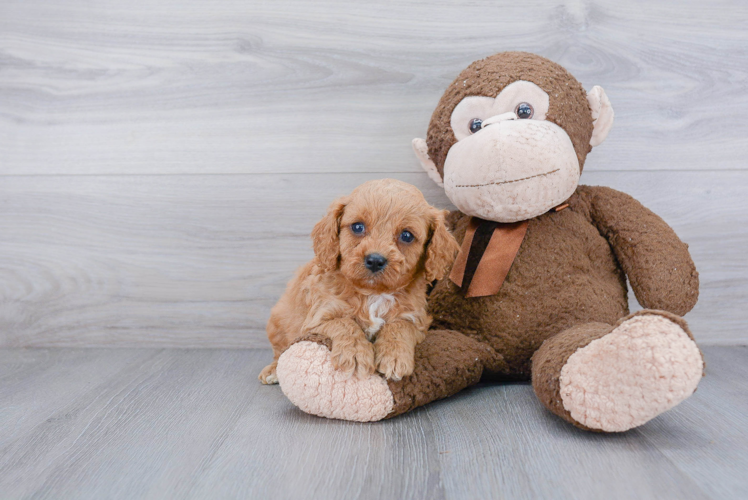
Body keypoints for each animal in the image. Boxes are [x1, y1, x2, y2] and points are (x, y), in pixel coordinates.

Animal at [260, 179, 458, 382]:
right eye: (357, 227)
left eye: (407, 235)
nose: (375, 260)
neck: (373, 293)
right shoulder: (316, 320)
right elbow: (345, 323)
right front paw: (355, 355)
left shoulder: (417, 320)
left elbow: (399, 326)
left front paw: (394, 356)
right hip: (277, 323)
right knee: (280, 351)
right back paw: (272, 370)